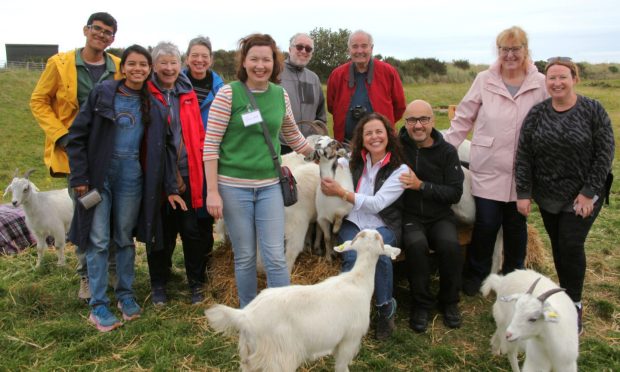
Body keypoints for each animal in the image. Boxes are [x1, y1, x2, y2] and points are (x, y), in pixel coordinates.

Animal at [205, 230, 402, 372]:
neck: (358, 280)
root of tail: (246, 315)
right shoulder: (349, 338)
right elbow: (341, 366)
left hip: (249, 353)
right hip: (280, 356)